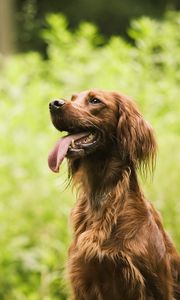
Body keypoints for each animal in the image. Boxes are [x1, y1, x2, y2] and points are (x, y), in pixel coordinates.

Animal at [47, 90, 180, 298]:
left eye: (95, 100)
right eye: (73, 98)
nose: (54, 103)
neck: (101, 198)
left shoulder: (155, 285)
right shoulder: (83, 279)